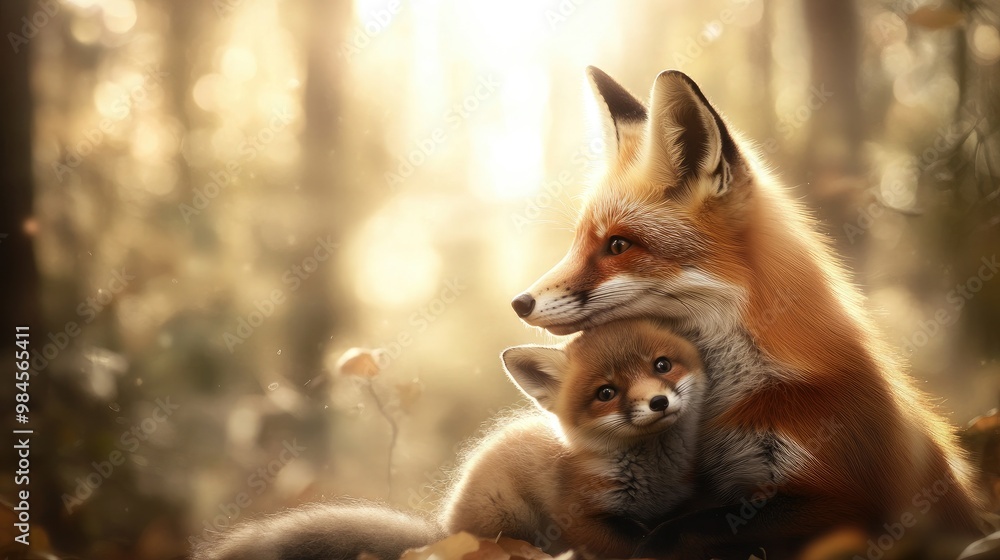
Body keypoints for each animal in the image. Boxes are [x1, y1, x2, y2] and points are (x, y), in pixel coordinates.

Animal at [442, 318, 706, 558]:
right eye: (606, 393)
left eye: (662, 365)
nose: (659, 402)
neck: (654, 478)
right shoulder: (578, 521)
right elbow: (642, 542)